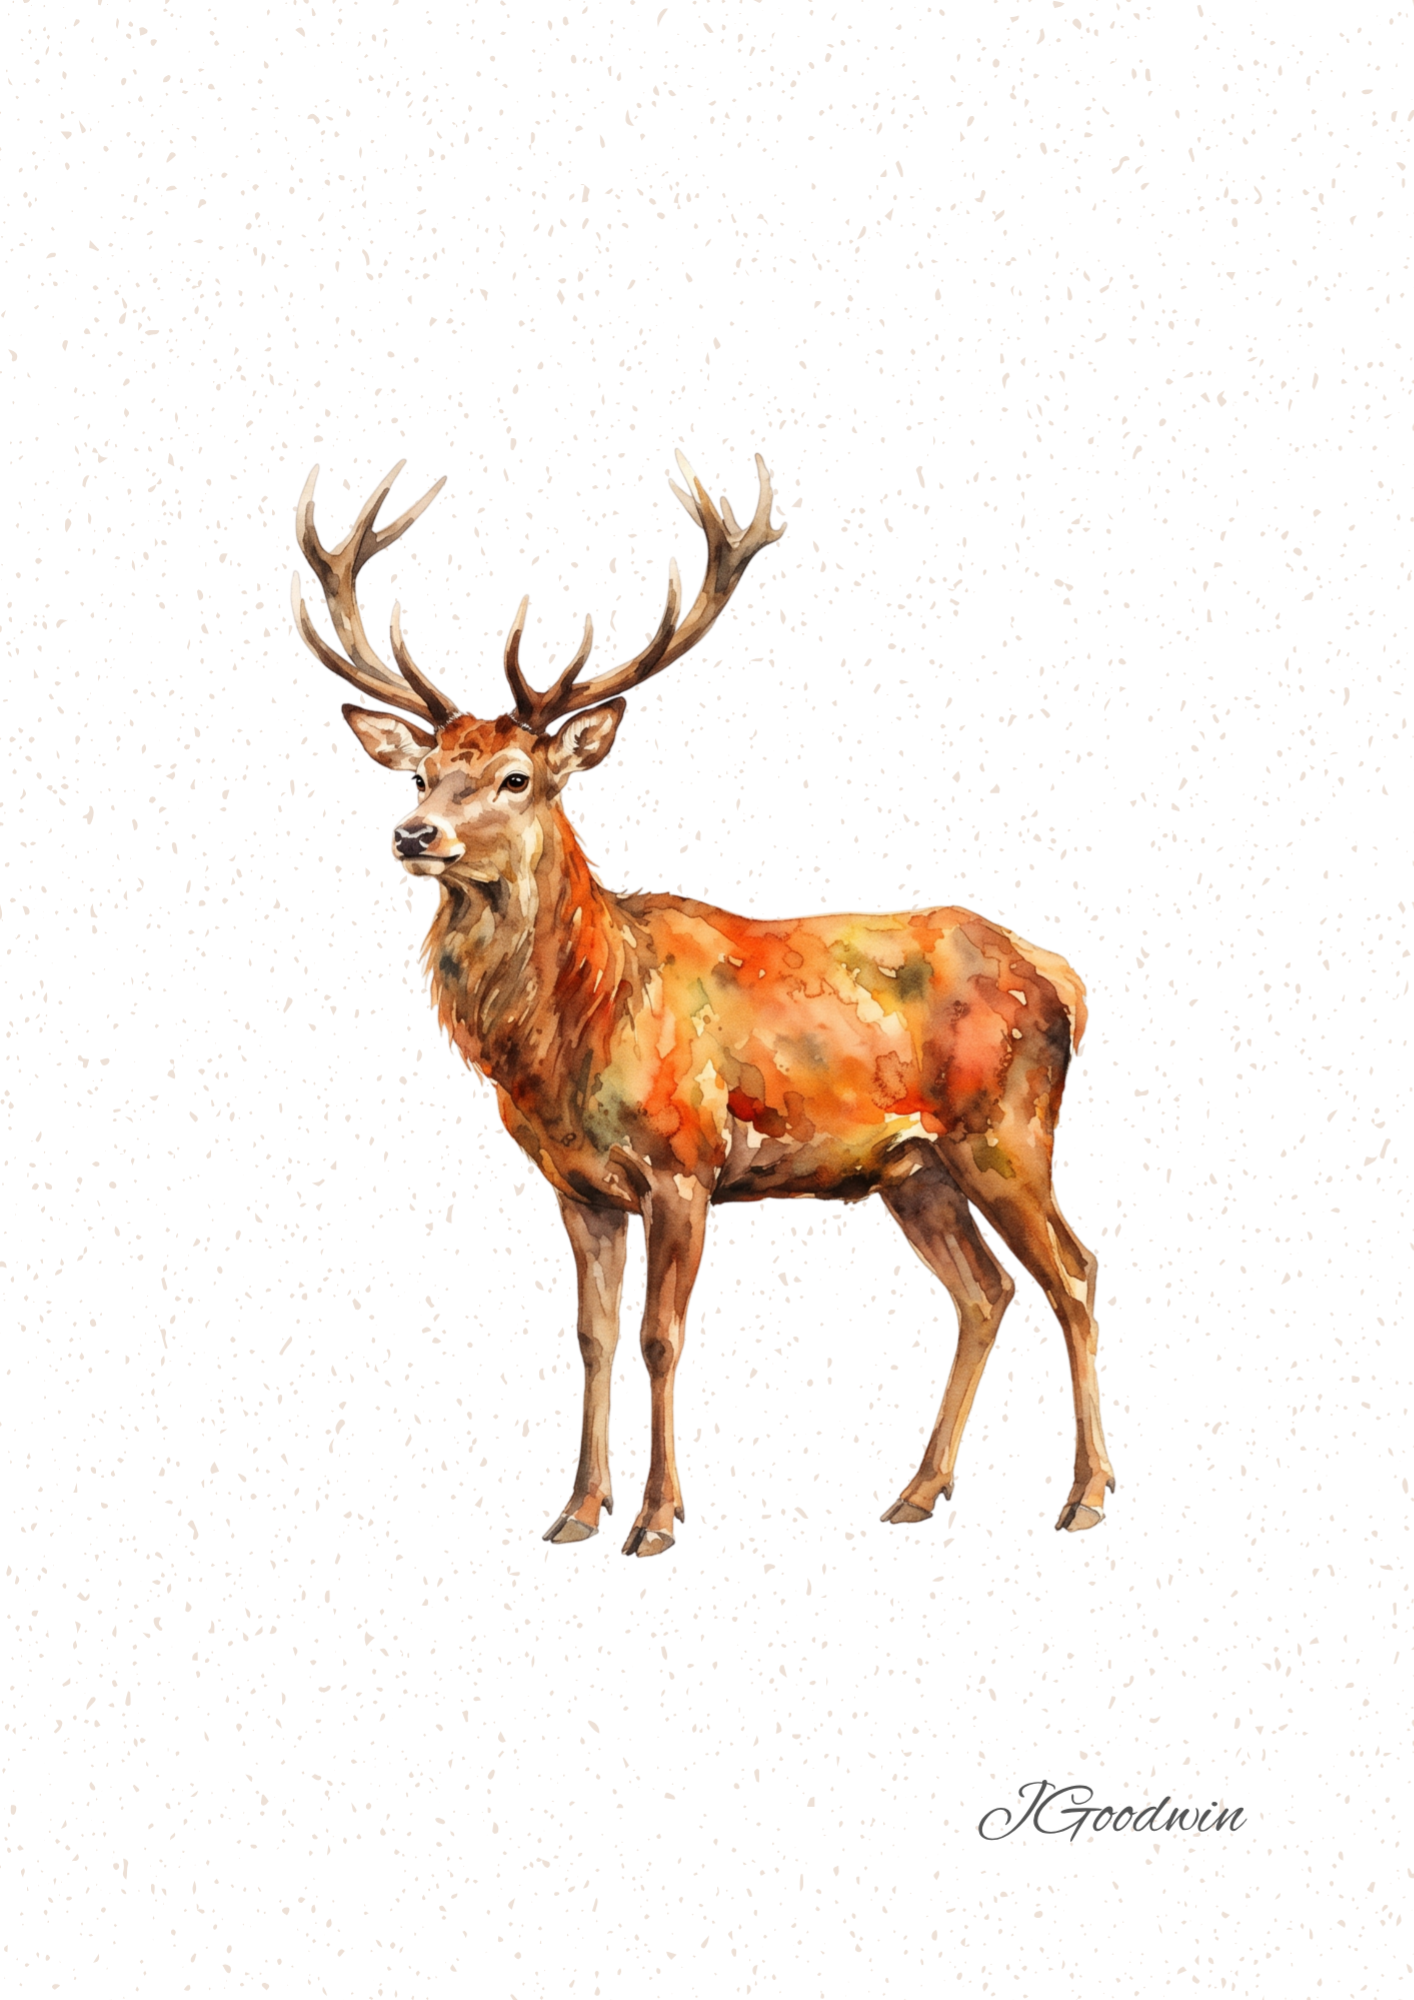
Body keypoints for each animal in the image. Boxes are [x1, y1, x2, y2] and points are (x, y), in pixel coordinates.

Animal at [290, 452, 1115, 1557]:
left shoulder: (684, 1166)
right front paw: (574, 1509)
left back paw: (1085, 1494)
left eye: (516, 777)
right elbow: (591, 1335)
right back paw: (916, 1488)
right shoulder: (579, 1186)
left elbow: (658, 1336)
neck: (577, 1027)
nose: (414, 834)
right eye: (422, 771)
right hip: (913, 1166)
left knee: (1075, 1271)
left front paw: (655, 1517)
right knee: (985, 1292)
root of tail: (1062, 977)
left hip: (1007, 1126)